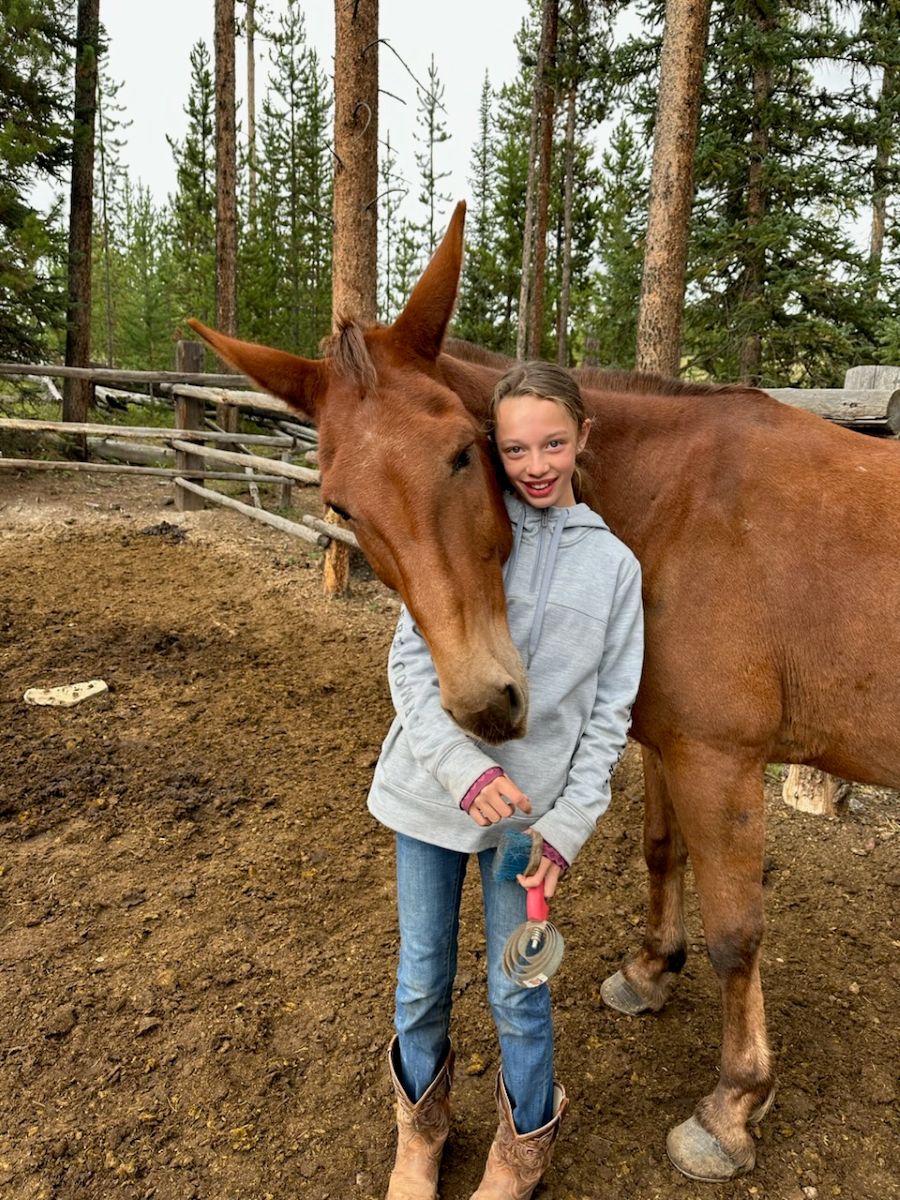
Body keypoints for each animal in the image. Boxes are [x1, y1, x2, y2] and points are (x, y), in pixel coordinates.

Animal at [188, 201, 900, 1183]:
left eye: (463, 454)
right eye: (340, 504)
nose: (486, 705)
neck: (680, 507)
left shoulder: (721, 758)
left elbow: (738, 930)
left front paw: (730, 1108)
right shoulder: (670, 742)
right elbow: (660, 853)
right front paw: (649, 972)